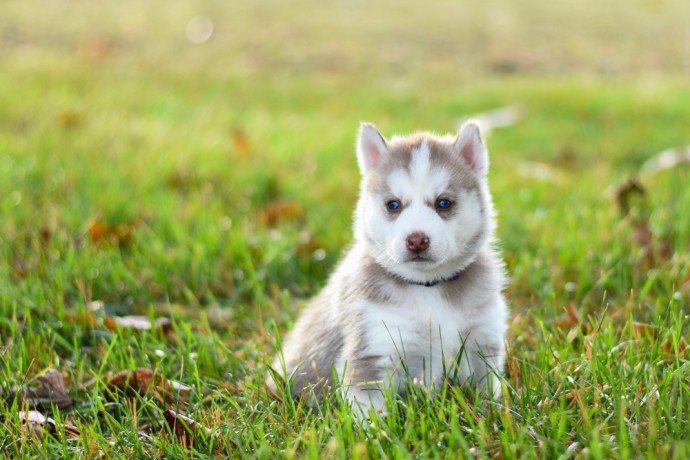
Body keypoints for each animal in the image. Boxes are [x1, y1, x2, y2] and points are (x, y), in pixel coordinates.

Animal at [272, 121, 508, 414]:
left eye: (444, 203)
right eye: (393, 204)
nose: (417, 239)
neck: (428, 288)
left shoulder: (481, 340)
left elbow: (487, 393)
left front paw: (493, 416)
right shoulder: (373, 348)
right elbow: (371, 414)